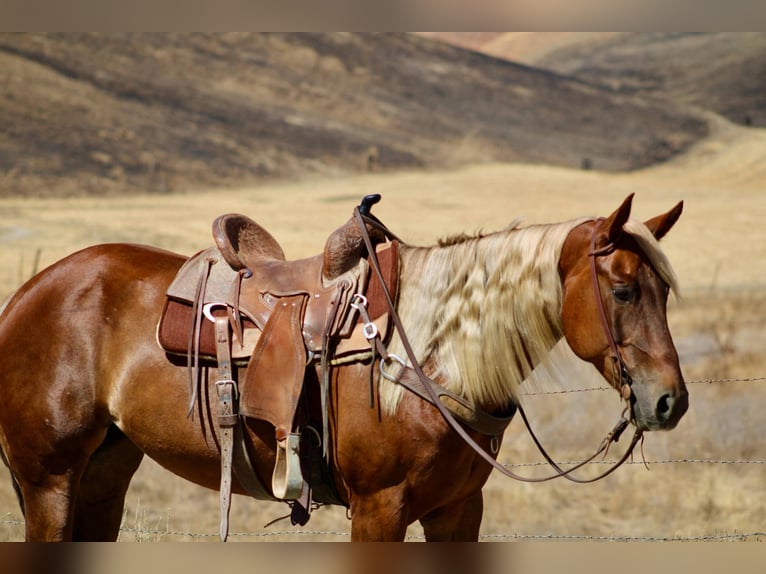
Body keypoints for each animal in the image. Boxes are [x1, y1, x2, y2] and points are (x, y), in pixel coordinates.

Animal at [0, 193, 688, 541]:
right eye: (623, 290)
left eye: (665, 292)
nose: (669, 402)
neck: (433, 359)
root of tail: (27, 291)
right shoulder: (381, 509)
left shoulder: (458, 511)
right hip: (47, 481)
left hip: (103, 475)